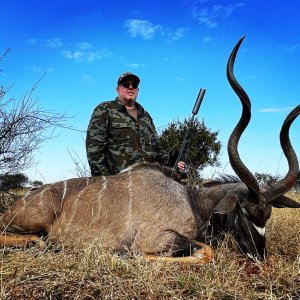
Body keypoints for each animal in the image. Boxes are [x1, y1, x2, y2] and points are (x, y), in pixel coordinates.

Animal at [0, 37, 300, 262]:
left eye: (268, 215)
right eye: (244, 212)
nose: (258, 256)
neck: (192, 201)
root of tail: (19, 202)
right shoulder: (155, 238)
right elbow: (205, 251)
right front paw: (125, 255)